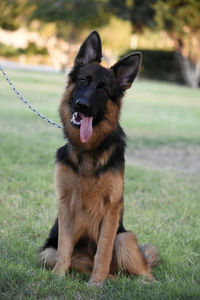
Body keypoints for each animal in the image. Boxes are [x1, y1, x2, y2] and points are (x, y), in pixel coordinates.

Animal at [38, 31, 159, 288]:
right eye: (84, 81)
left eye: (103, 90)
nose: (81, 106)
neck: (89, 151)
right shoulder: (65, 204)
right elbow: (64, 248)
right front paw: (58, 278)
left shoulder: (112, 208)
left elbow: (102, 252)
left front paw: (95, 285)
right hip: (46, 253)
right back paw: (111, 280)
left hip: (124, 238)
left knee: (142, 271)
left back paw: (145, 284)